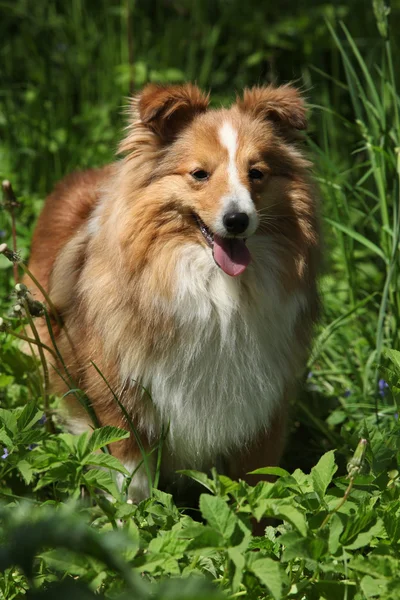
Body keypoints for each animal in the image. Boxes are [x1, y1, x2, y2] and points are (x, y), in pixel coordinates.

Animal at [27, 82, 318, 500]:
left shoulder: (262, 404)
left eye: (257, 173)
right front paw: (130, 517)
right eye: (199, 173)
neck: (218, 292)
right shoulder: (119, 397)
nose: (237, 219)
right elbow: (129, 479)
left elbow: (257, 482)